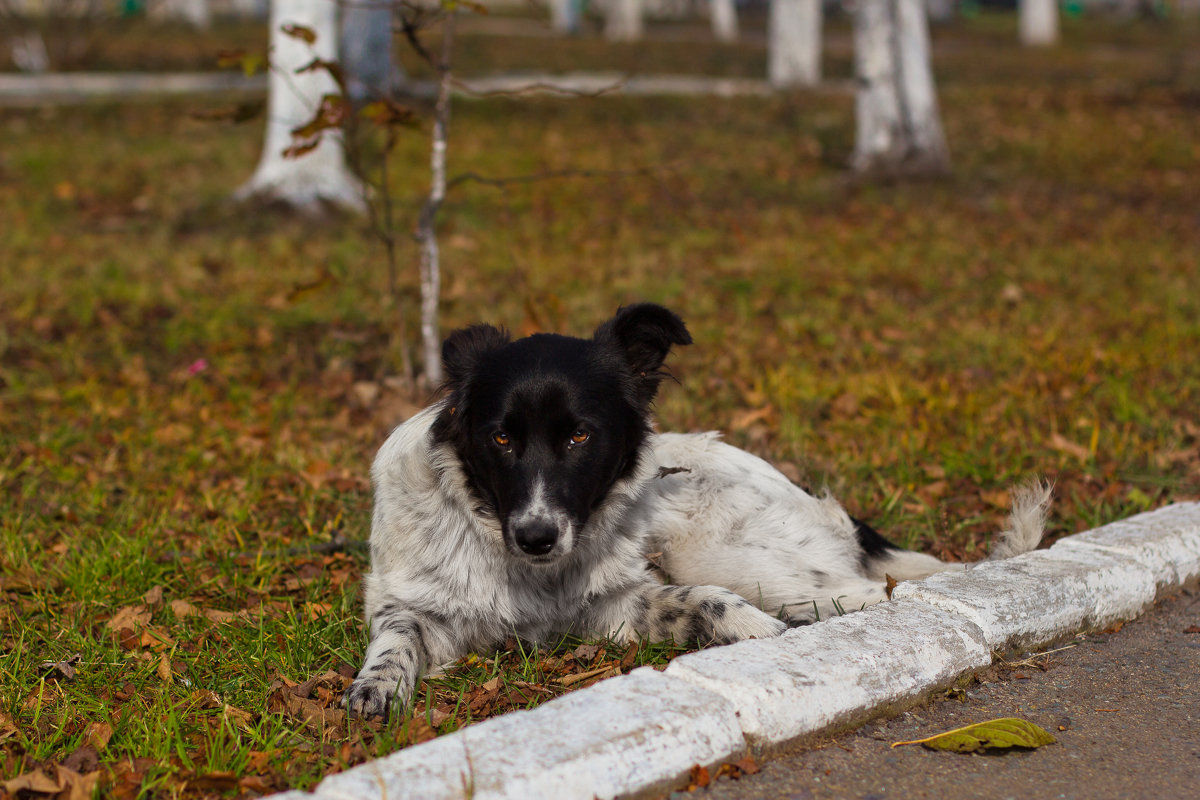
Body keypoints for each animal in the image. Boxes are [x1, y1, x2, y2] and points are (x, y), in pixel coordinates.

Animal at [340, 302, 1051, 719]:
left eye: (580, 436)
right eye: (502, 439)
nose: (537, 536)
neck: (529, 575)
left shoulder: (615, 603)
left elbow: (701, 601)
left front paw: (759, 634)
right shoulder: (418, 608)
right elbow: (396, 638)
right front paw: (377, 686)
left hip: (715, 548)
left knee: (874, 593)